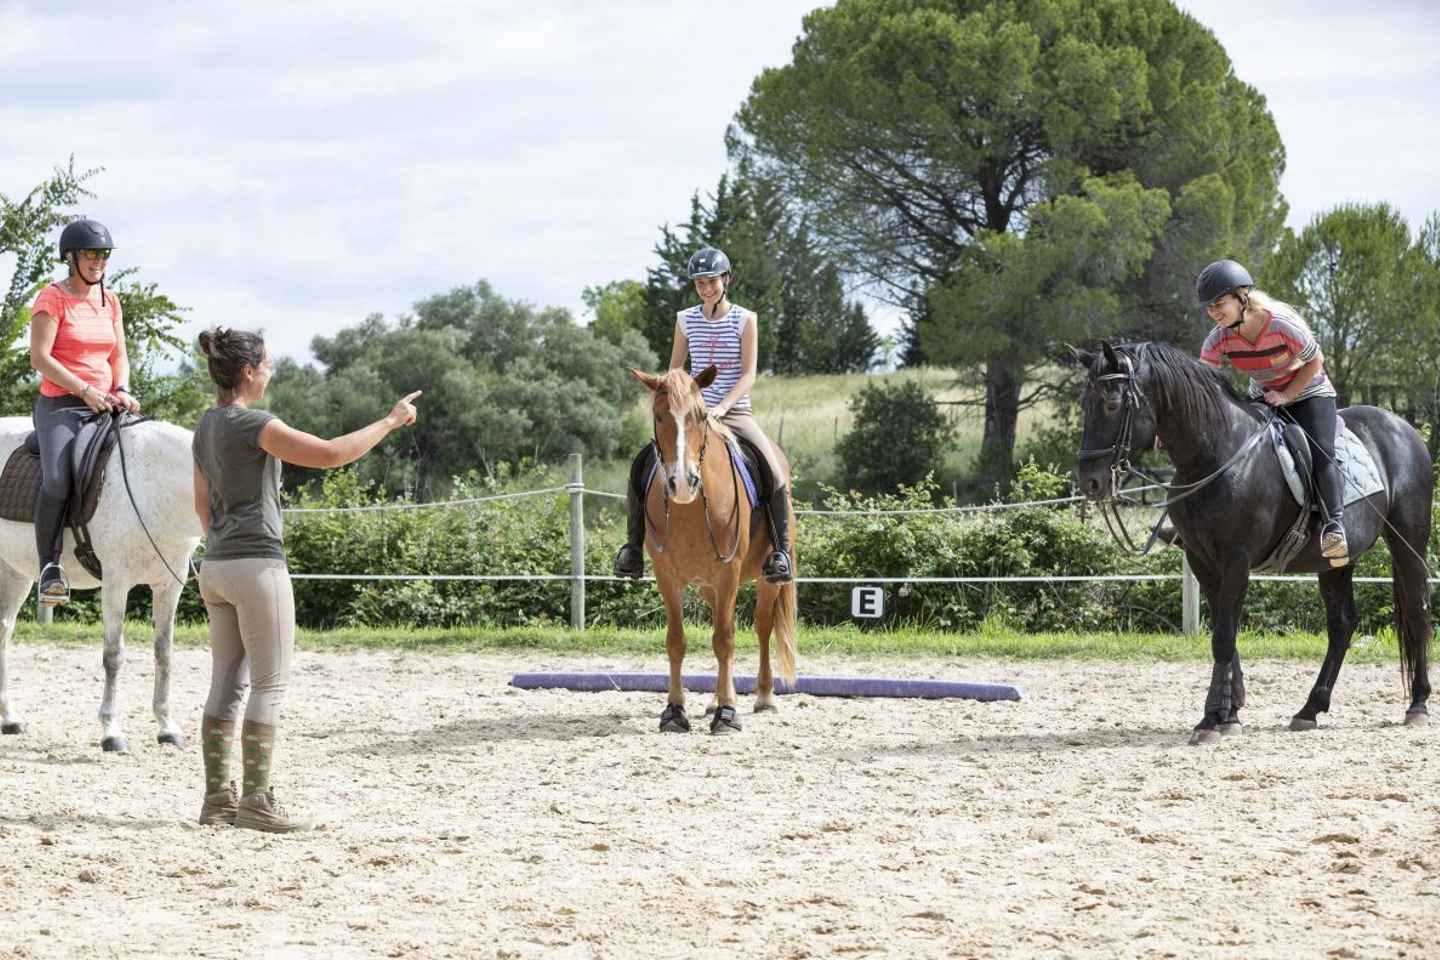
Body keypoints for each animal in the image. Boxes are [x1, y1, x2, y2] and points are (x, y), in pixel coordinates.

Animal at [0, 415, 201, 752]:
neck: (156, 487)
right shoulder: (116, 583)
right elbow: (113, 655)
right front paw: (111, 732)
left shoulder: (168, 585)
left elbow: (164, 652)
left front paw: (166, 727)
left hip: (14, 572)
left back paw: (9, 718)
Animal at [630, 365, 798, 734]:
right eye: (659, 415)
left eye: (701, 416)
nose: (682, 483)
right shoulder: (667, 576)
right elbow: (677, 641)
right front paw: (674, 711)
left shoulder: (728, 571)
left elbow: (725, 640)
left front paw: (728, 714)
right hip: (708, 586)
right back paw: (715, 699)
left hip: (765, 578)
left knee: (761, 627)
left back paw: (764, 696)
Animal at [1075, 341, 1432, 743]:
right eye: (1084, 403)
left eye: (1111, 404)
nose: (1090, 482)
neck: (1215, 456)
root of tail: (1405, 429)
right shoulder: (1202, 561)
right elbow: (1225, 636)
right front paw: (1229, 711)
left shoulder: (1237, 559)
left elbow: (1223, 637)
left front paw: (1211, 719)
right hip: (1335, 562)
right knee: (1342, 625)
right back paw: (1310, 709)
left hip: (1409, 542)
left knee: (1418, 611)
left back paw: (1418, 704)